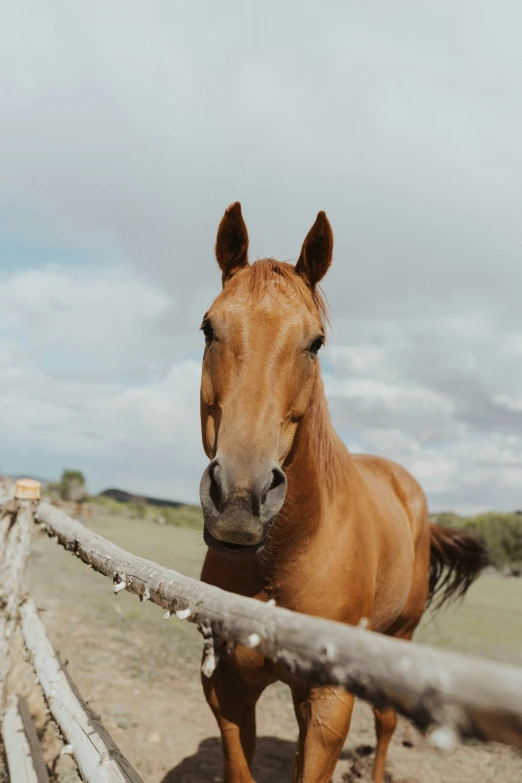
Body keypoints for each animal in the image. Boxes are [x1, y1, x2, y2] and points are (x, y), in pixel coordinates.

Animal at [197, 204, 486, 783]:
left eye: (315, 343)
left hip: (396, 641)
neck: (285, 554)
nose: (239, 499)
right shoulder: (227, 691)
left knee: (387, 724)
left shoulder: (331, 702)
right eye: (208, 328)